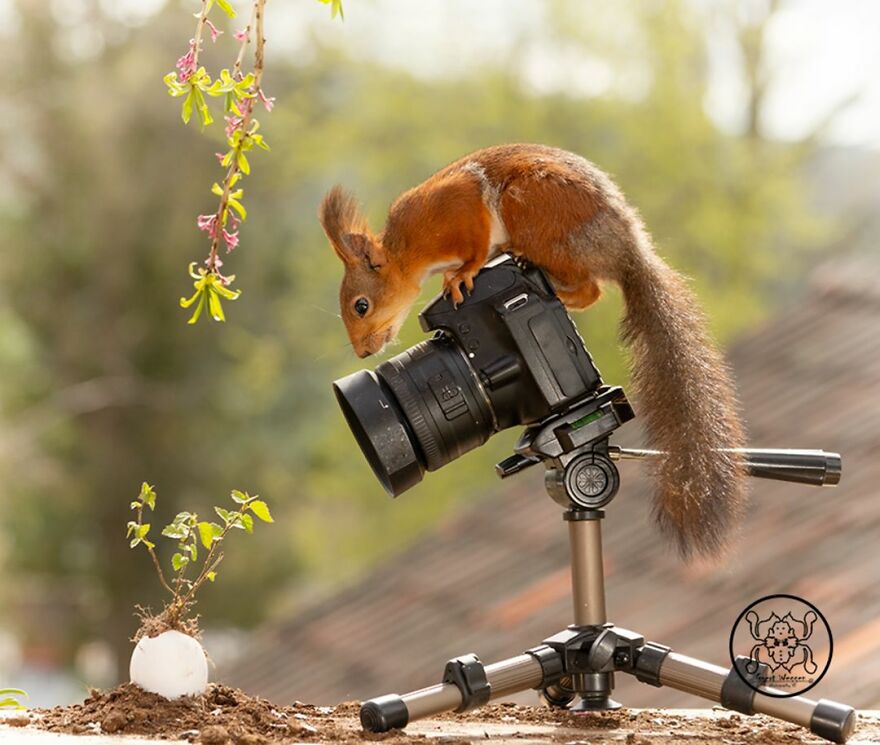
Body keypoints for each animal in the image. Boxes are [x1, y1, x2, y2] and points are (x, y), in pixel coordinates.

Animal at [319, 143, 747, 558]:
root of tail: (623, 249)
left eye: (361, 306)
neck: (409, 250)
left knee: (589, 288)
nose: (363, 352)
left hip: (530, 206)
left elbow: (474, 240)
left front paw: (461, 275)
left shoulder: (457, 204)